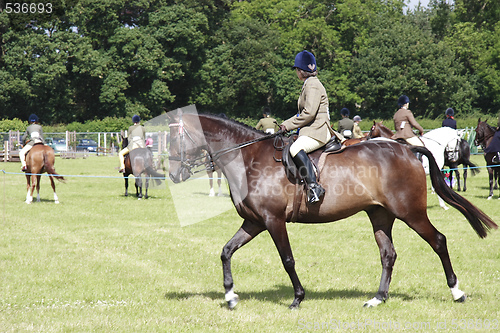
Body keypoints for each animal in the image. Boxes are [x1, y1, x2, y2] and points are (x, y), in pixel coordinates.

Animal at [168, 111, 496, 308]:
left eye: (175, 138)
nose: (172, 175)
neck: (248, 159)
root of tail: (406, 149)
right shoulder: (255, 222)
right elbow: (226, 251)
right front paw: (230, 295)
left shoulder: (273, 221)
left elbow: (287, 259)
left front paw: (297, 298)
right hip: (380, 215)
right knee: (388, 254)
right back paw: (377, 299)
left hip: (411, 213)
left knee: (438, 241)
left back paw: (457, 292)